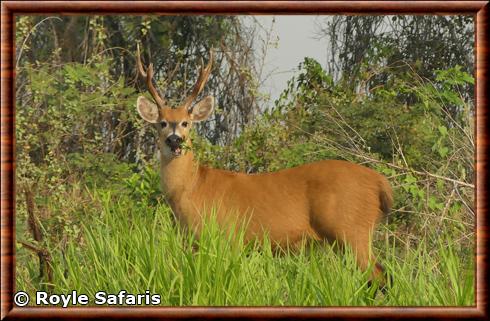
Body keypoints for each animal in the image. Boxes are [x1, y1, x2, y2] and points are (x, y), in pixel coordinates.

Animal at [135, 45, 394, 284]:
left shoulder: (227, 237)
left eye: (186, 123)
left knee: (380, 276)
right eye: (162, 123)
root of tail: (380, 182)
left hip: (352, 230)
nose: (175, 140)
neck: (192, 187)